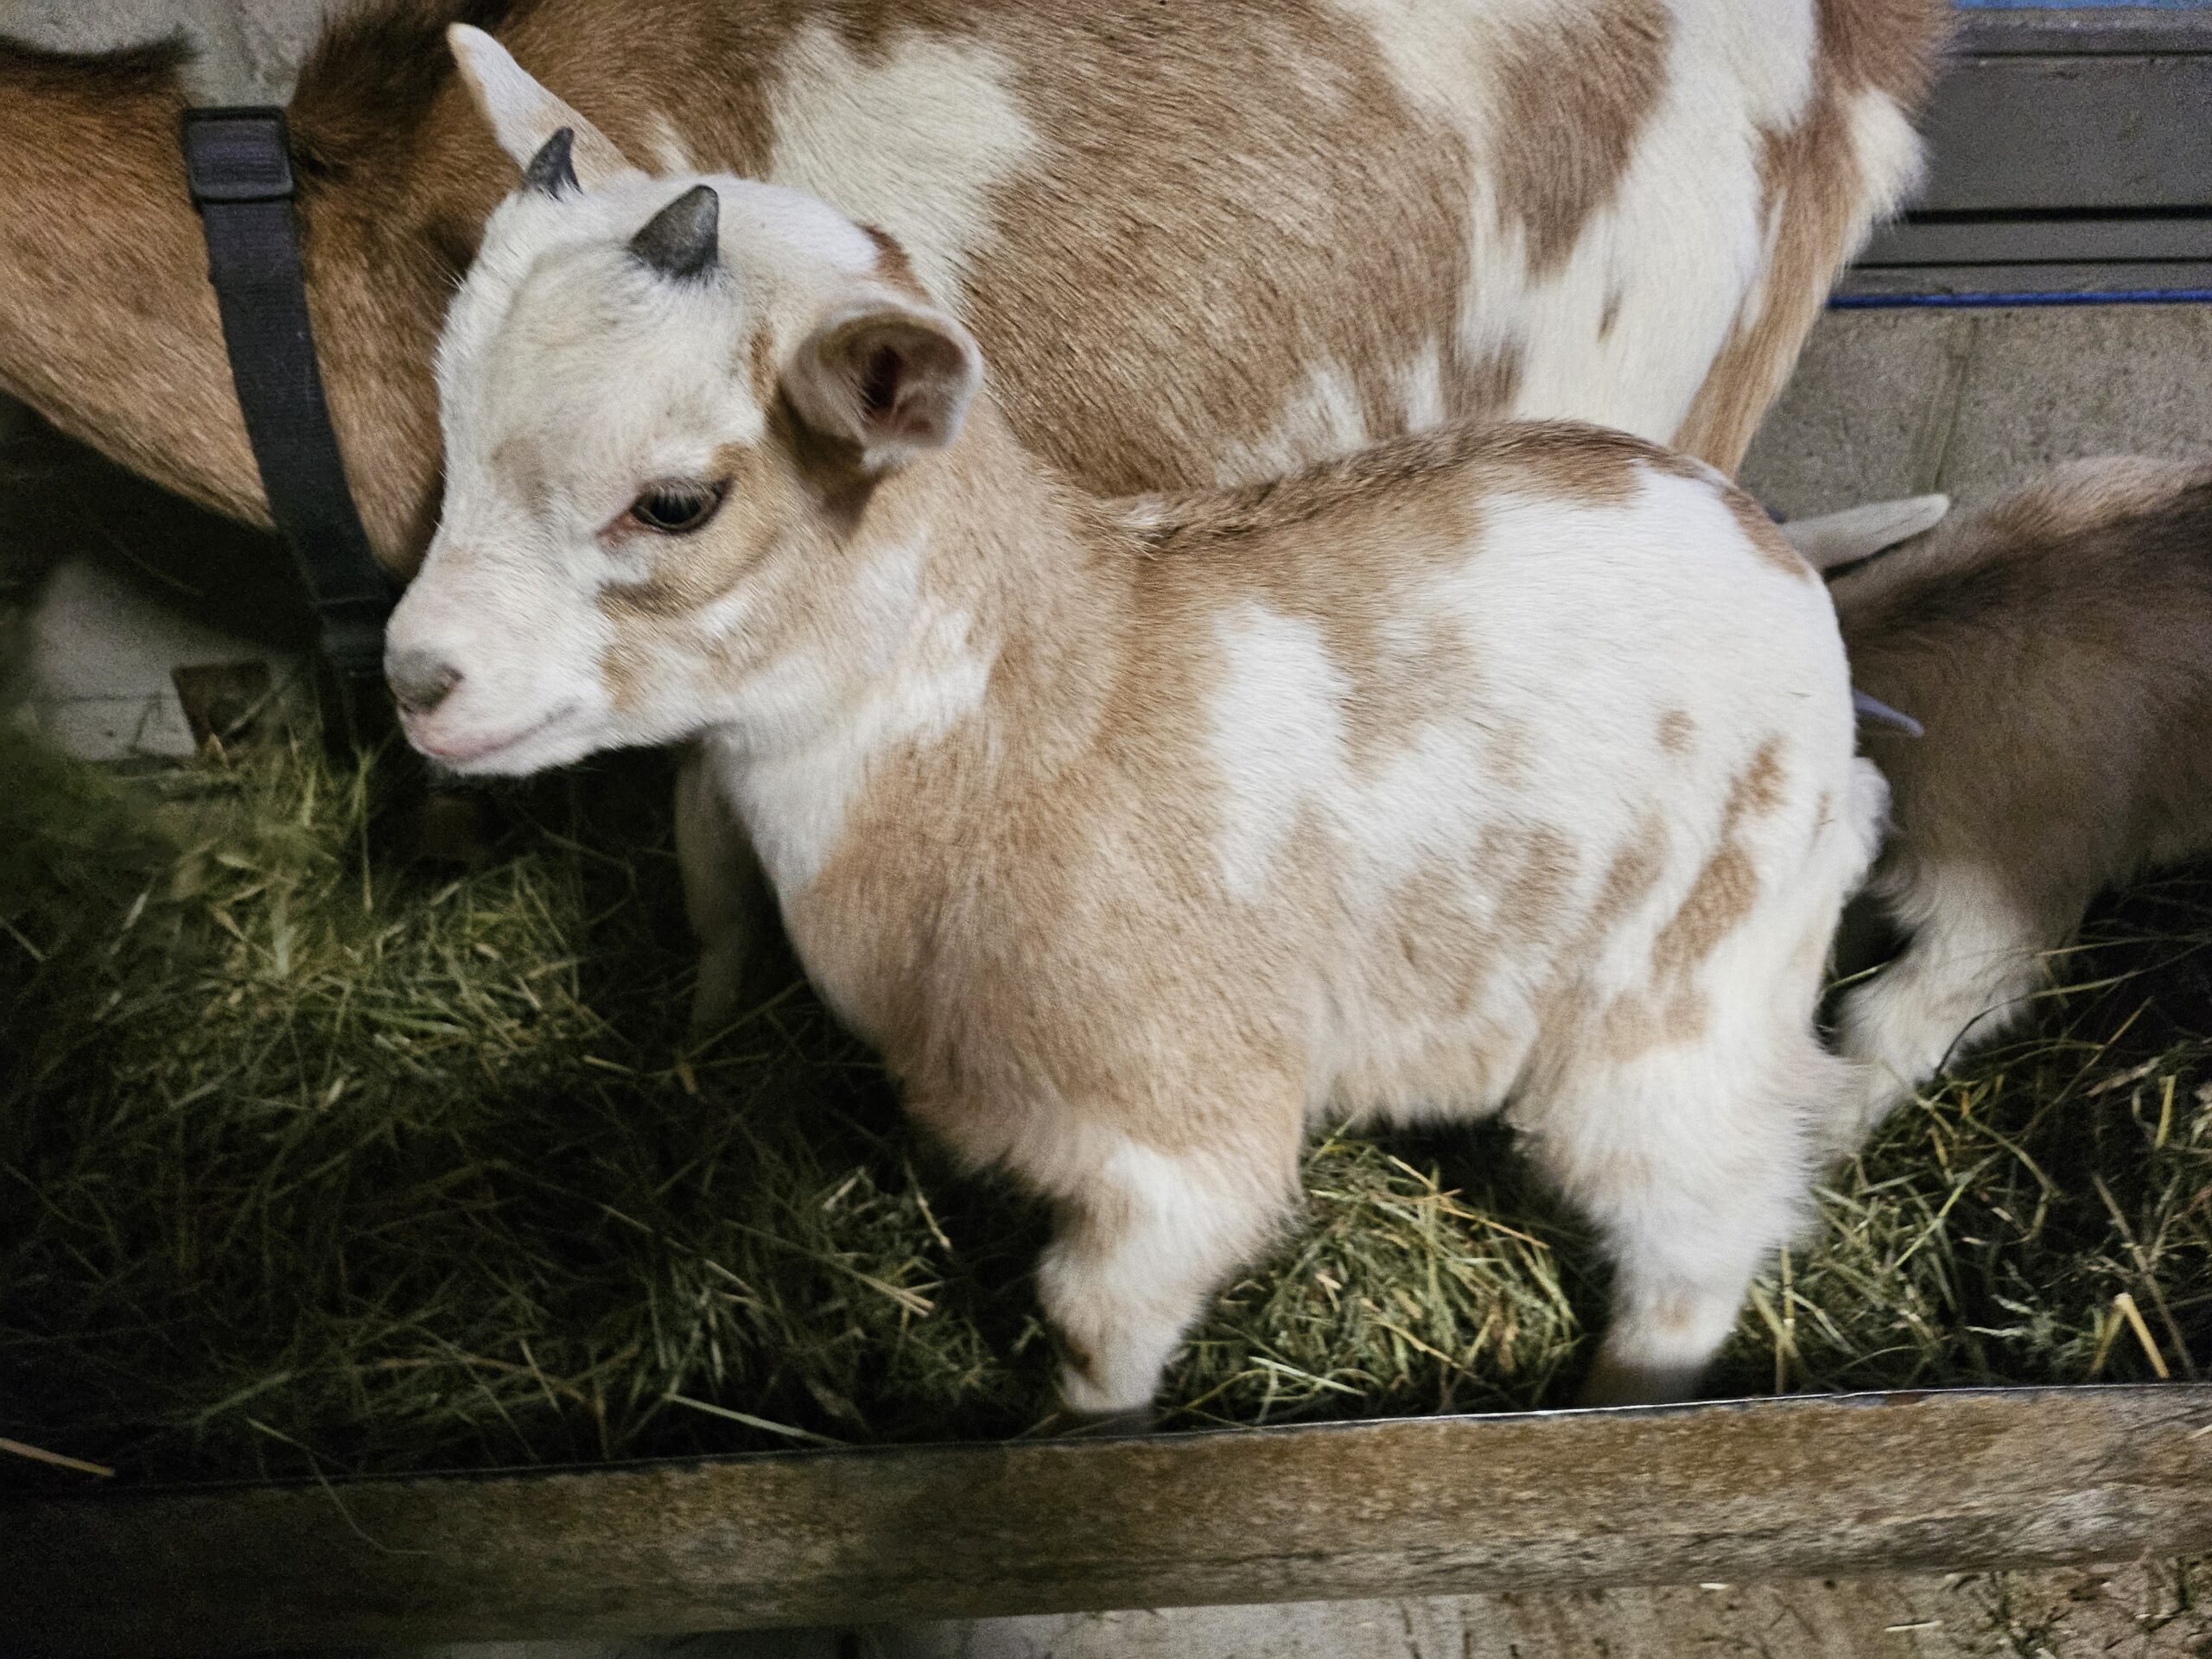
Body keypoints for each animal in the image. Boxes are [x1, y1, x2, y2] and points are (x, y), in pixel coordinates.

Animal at [386, 107, 1886, 1417]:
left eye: (675, 502)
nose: (415, 678)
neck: (1016, 719)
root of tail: (1770, 551)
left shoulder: (1177, 1141)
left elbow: (1098, 1333)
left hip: (1684, 990)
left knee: (1700, 1231)